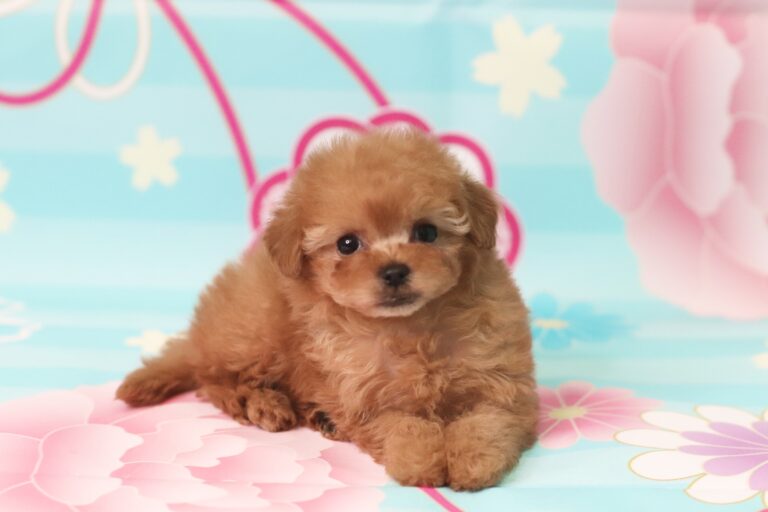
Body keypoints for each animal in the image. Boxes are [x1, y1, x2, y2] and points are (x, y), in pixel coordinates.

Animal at [117, 128, 538, 490]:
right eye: (347, 244)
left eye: (427, 232)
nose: (394, 271)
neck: (411, 327)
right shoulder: (364, 398)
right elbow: (402, 427)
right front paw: (420, 461)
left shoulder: (503, 383)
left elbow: (488, 422)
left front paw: (473, 461)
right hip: (254, 334)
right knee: (215, 380)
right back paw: (264, 404)